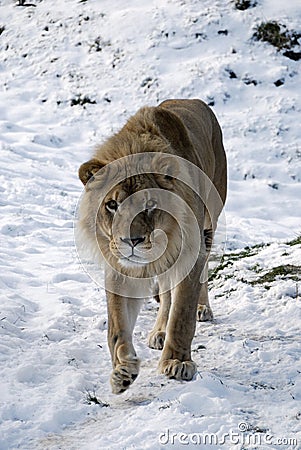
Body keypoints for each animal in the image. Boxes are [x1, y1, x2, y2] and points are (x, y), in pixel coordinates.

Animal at [76, 99, 226, 394]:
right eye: (112, 205)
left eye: (149, 205)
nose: (130, 241)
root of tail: (197, 102)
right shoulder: (120, 268)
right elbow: (116, 327)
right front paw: (122, 370)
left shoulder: (190, 252)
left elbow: (182, 315)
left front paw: (177, 362)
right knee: (166, 293)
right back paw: (159, 332)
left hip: (210, 220)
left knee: (201, 276)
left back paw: (202, 309)